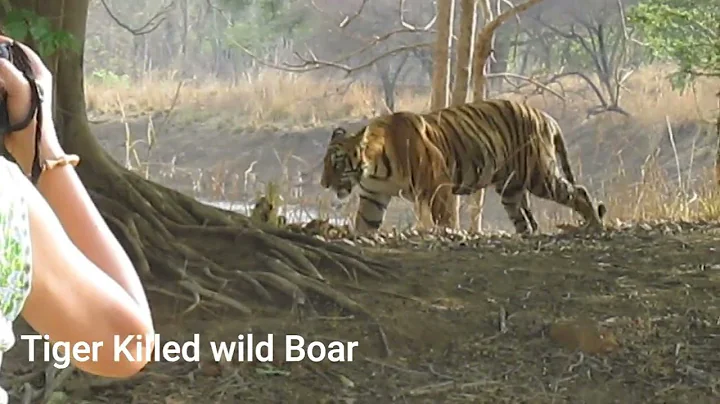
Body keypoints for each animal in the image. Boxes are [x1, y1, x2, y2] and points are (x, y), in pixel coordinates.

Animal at [320, 98, 607, 235]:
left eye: (337, 162)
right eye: (324, 163)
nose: (323, 183)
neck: (375, 168)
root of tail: (545, 116)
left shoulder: (438, 185)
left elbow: (444, 219)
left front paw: (450, 235)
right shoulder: (373, 195)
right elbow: (365, 223)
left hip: (539, 175)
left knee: (578, 191)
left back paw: (595, 226)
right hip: (511, 188)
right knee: (525, 220)